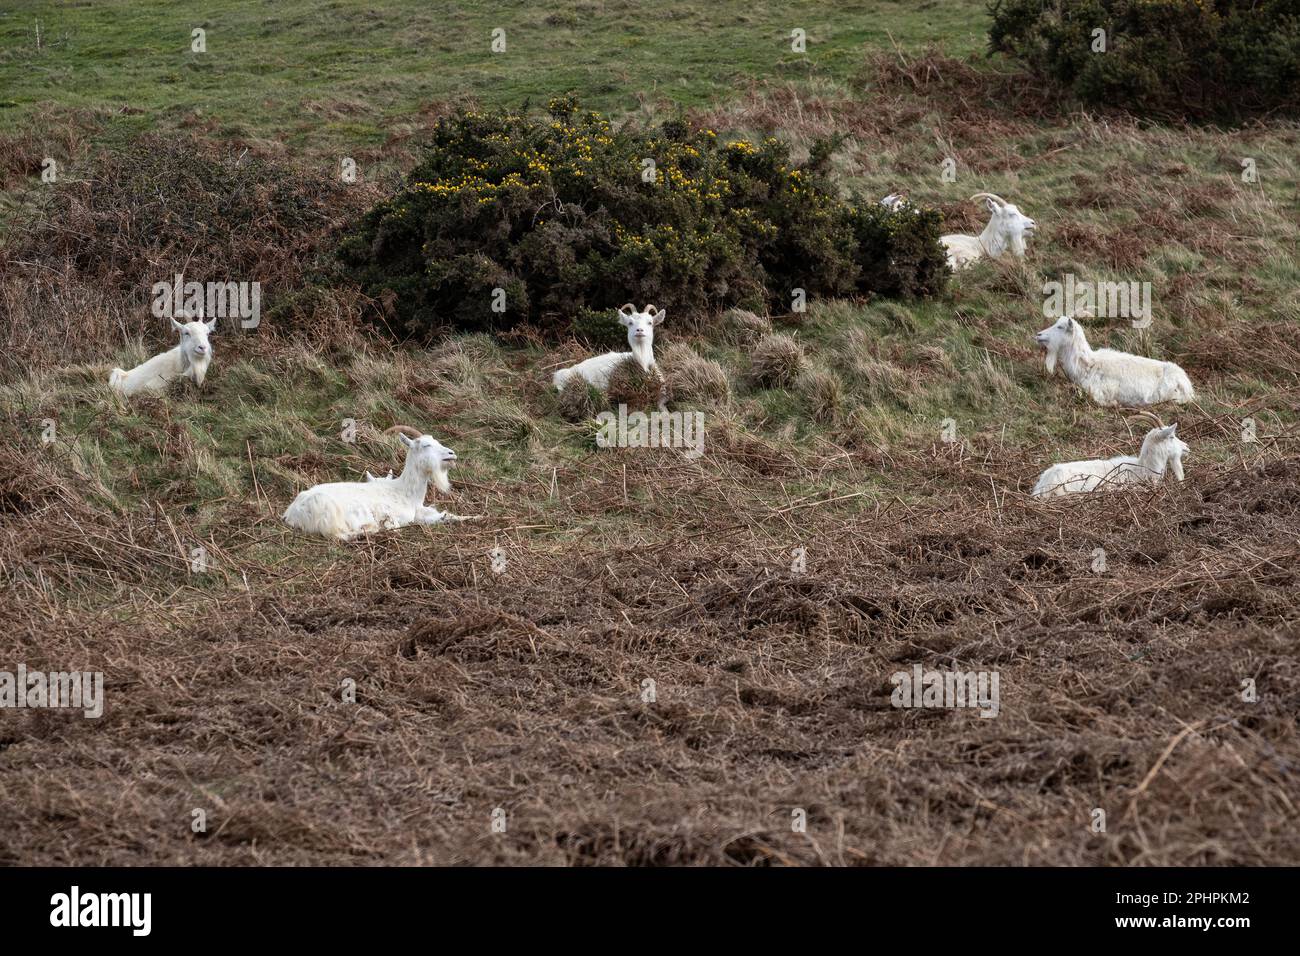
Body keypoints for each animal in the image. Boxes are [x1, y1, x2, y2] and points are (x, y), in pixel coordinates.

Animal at [283, 426, 475, 541]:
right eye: (426, 445)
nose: (451, 454)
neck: (404, 492)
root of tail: (291, 514)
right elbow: (395, 524)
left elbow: (445, 516)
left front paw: (475, 517)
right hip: (329, 515)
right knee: (340, 535)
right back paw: (370, 529)